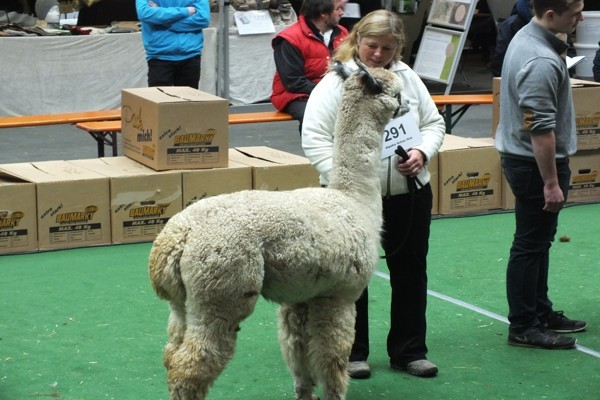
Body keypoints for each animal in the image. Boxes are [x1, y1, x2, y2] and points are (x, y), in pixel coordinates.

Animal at [148, 64, 405, 400]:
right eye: (397, 92)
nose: (407, 105)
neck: (355, 199)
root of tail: (178, 237)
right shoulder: (338, 295)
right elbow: (332, 356)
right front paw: (334, 394)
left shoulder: (302, 295)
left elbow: (297, 353)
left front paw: (305, 393)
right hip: (222, 290)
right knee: (190, 365)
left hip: (181, 303)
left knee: (170, 353)